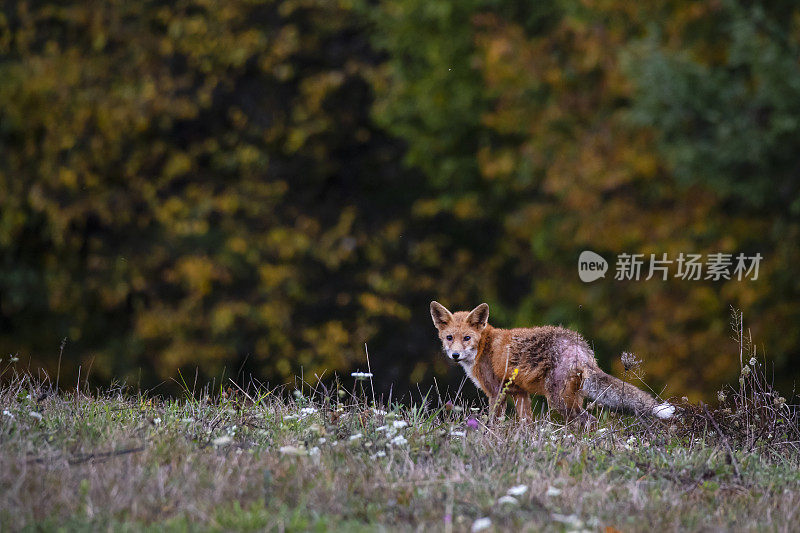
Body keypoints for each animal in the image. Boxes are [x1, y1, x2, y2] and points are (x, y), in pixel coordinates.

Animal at [428, 302, 672, 422]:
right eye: (449, 338)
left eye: (467, 338)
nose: (455, 355)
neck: (484, 346)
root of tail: (582, 348)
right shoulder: (520, 393)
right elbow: (527, 425)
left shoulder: (496, 393)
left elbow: (493, 425)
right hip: (570, 398)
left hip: (558, 401)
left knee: (589, 421)